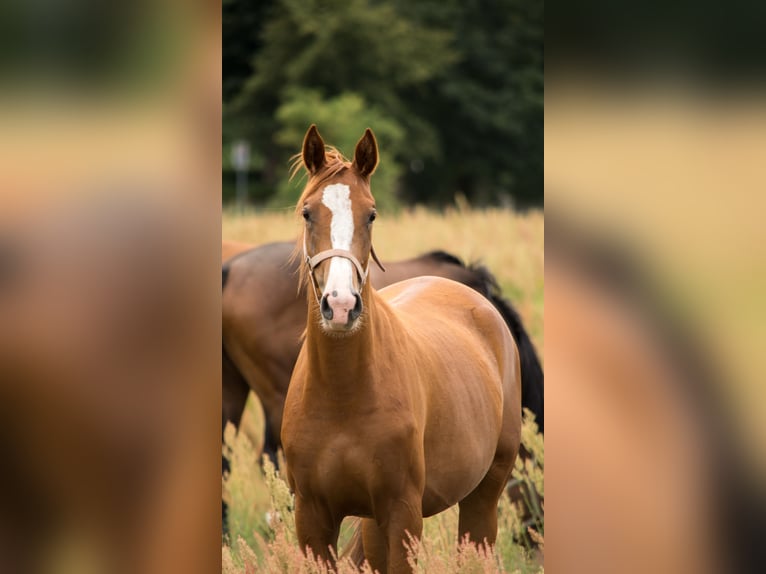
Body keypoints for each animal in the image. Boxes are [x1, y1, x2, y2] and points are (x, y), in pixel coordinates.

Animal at [280, 127, 520, 574]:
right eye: (307, 213)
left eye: (371, 214)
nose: (341, 305)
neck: (342, 395)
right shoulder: (313, 517)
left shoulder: (402, 514)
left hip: (483, 496)